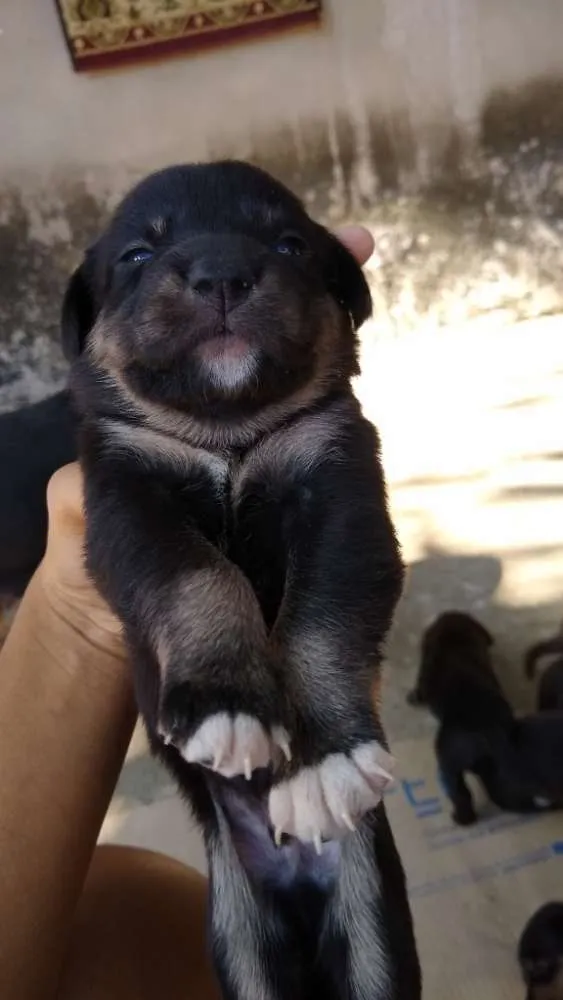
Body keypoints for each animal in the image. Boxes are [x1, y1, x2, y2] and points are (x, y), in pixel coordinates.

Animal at [64, 162, 420, 1000]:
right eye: (137, 254)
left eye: (287, 242)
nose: (222, 271)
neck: (226, 433)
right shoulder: (129, 496)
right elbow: (203, 576)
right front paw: (227, 698)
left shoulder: (340, 489)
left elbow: (318, 619)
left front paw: (323, 758)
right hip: (238, 931)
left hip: (368, 917)